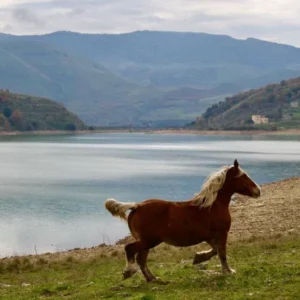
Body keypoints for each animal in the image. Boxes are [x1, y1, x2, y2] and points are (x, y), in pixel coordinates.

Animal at [105, 161, 260, 282]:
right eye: (243, 176)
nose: (258, 191)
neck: (212, 206)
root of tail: (137, 206)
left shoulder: (209, 236)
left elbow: (215, 251)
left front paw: (199, 257)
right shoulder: (221, 234)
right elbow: (222, 253)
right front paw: (228, 271)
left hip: (147, 242)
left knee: (141, 259)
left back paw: (153, 279)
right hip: (149, 241)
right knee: (130, 249)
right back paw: (129, 271)